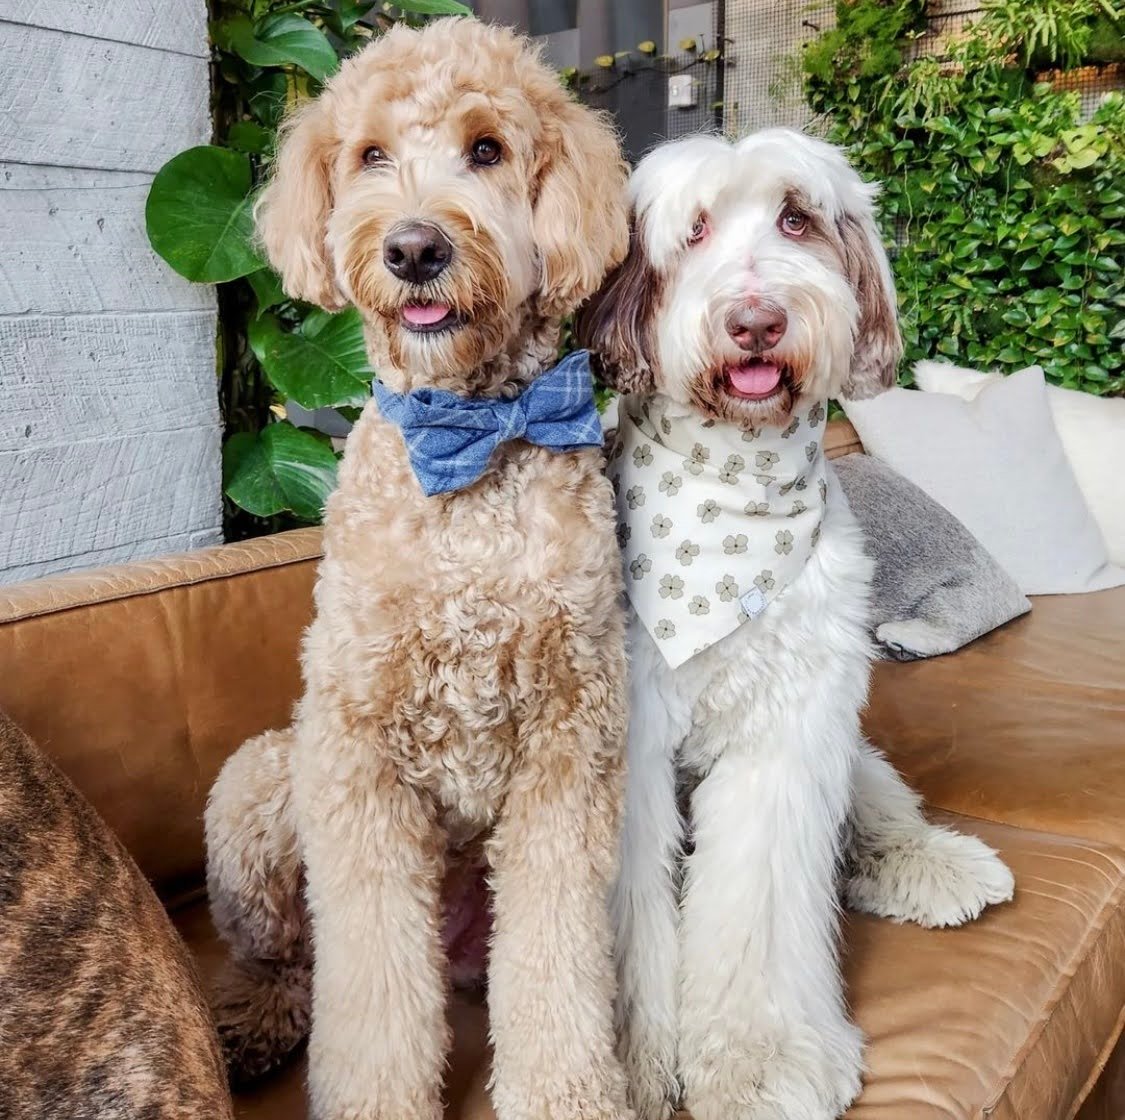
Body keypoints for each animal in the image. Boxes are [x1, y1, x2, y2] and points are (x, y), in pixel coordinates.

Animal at [204, 15, 634, 1120]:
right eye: (368, 155)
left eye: (486, 149)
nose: (413, 247)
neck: (468, 441)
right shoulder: (356, 749)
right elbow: (370, 985)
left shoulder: (570, 747)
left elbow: (558, 959)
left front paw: (564, 1092)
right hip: (260, 778)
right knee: (290, 962)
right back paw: (248, 1025)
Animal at [576, 131, 1017, 1120]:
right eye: (694, 230)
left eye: (796, 220)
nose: (755, 322)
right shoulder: (629, 746)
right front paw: (635, 1064)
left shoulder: (789, 730)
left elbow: (764, 896)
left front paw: (757, 1060)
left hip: (846, 748)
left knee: (866, 820)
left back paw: (931, 866)